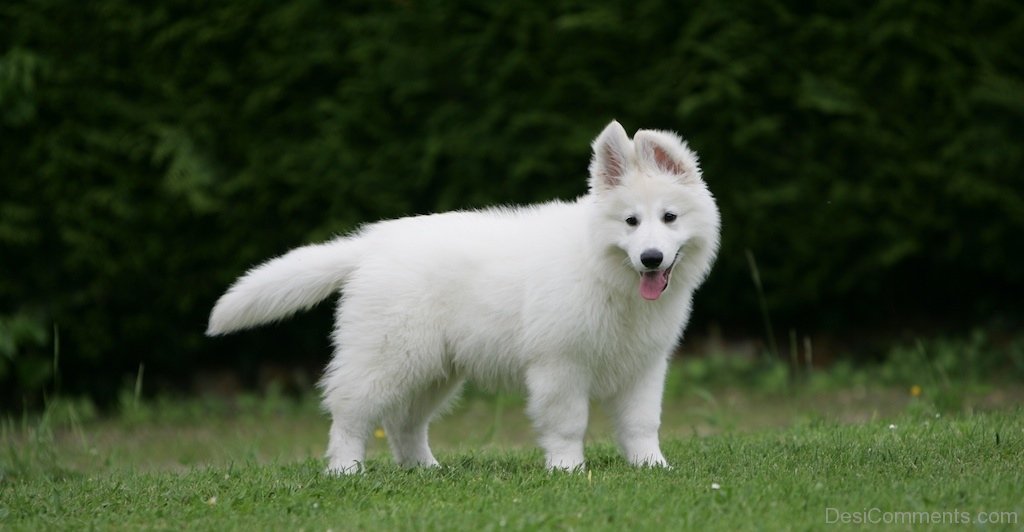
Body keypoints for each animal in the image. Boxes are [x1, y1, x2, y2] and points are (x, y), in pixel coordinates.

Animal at [205, 121, 720, 474]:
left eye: (669, 217)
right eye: (631, 222)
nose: (651, 259)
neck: (606, 270)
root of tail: (372, 243)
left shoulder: (644, 366)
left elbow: (642, 424)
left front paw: (652, 467)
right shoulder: (560, 365)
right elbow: (569, 423)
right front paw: (569, 470)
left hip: (433, 368)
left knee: (404, 423)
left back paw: (426, 470)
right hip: (387, 356)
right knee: (350, 411)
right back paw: (346, 469)